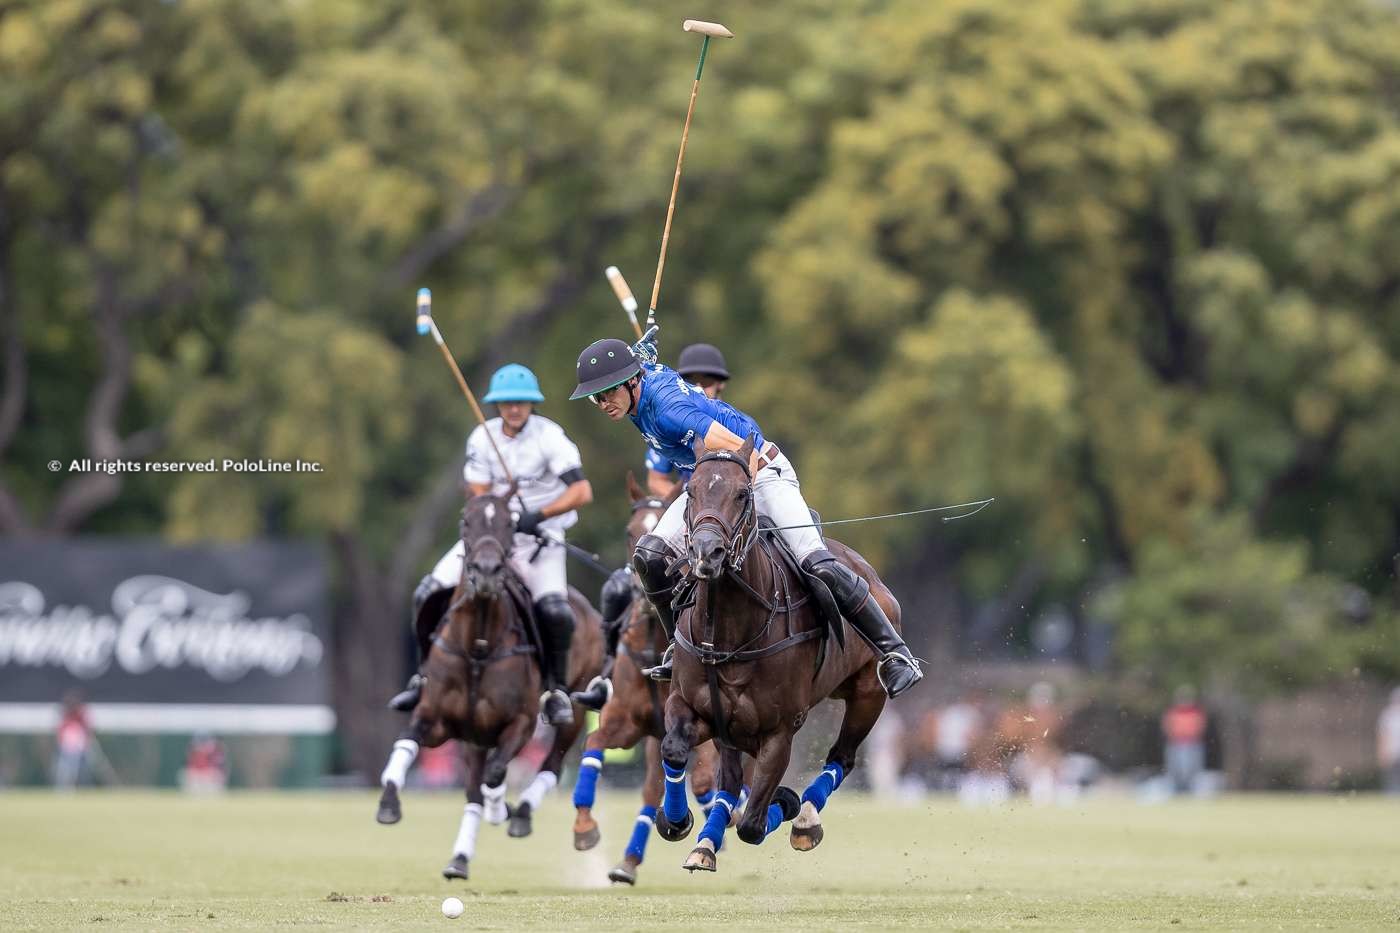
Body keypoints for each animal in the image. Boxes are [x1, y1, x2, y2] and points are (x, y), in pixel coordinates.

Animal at [375, 490, 604, 874]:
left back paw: (520, 814)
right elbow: (407, 742)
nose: (485, 573)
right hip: (474, 736)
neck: (478, 646)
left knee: (551, 763)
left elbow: (496, 774)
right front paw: (389, 802)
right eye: (465, 521)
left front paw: (502, 809)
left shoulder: (521, 723)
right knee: (474, 787)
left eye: (509, 523)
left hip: (573, 709)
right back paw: (460, 858)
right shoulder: (438, 721)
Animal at [571, 476, 733, 885]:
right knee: (651, 789)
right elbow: (594, 745)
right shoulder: (626, 726)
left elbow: (704, 780)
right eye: (629, 532)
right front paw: (584, 829)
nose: (641, 595)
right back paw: (629, 861)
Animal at [652, 431, 896, 868]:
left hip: (869, 694)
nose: (707, 553)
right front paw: (676, 821)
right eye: (690, 491)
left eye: (743, 493)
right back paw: (705, 843)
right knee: (730, 783)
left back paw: (805, 820)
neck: (728, 633)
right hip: (730, 732)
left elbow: (752, 824)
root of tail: (869, 573)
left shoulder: (780, 730)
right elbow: (675, 749)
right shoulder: (692, 705)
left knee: (842, 757)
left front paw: (785, 802)